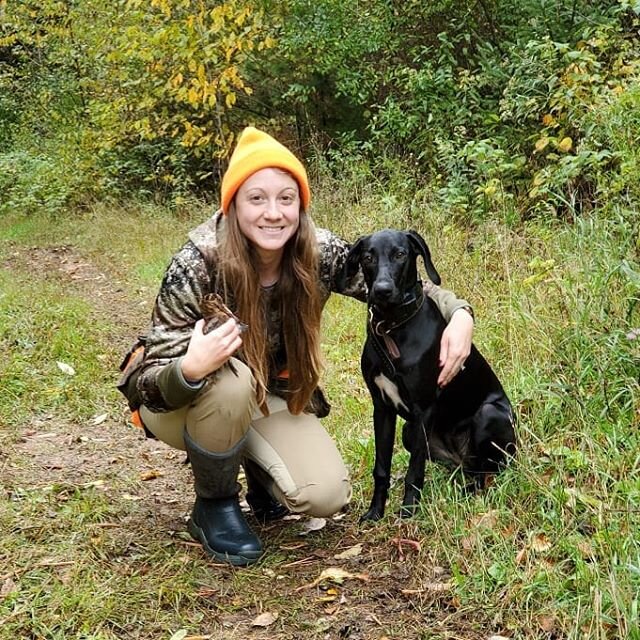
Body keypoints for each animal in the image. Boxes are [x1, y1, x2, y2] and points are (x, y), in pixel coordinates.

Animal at [340, 230, 516, 520]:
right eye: (367, 257)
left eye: (400, 254)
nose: (382, 291)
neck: (392, 328)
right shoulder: (382, 408)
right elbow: (381, 467)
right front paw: (375, 512)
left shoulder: (423, 410)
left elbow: (415, 469)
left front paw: (409, 510)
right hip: (409, 432)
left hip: (489, 415)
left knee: (490, 471)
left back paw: (469, 491)